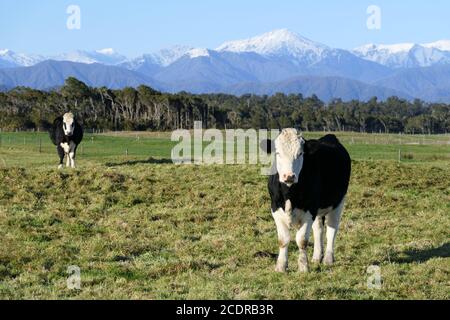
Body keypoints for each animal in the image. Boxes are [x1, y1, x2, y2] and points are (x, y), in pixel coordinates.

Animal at [264, 128, 352, 272]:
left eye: (300, 154)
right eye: (277, 153)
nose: (289, 176)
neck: (289, 193)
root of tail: (330, 137)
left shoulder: (310, 210)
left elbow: (302, 240)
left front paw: (303, 267)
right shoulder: (275, 208)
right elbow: (283, 239)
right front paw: (281, 266)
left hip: (338, 202)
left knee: (331, 229)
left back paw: (328, 259)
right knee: (318, 230)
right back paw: (317, 257)